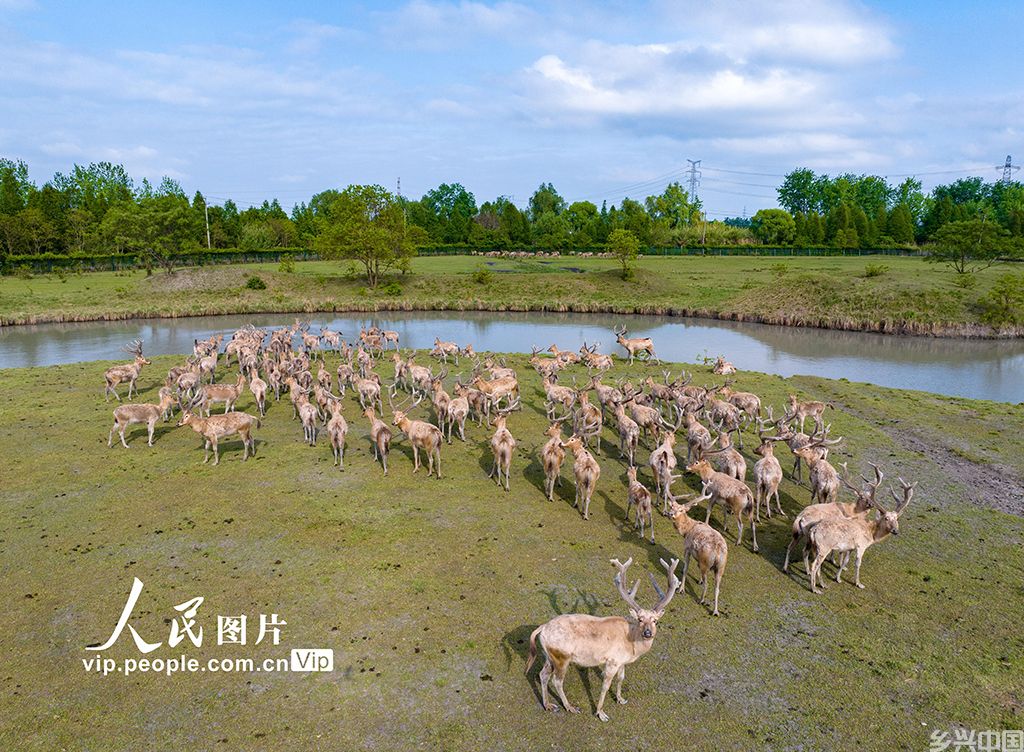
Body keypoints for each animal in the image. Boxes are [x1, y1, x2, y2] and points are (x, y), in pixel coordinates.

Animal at [526, 557, 679, 722]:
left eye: (655, 620)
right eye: (640, 619)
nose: (648, 632)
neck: (631, 645)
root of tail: (542, 628)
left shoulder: (621, 661)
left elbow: (621, 678)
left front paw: (620, 699)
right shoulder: (612, 661)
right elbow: (605, 685)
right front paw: (601, 713)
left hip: (549, 656)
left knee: (543, 674)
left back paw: (548, 705)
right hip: (561, 656)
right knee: (557, 681)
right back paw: (570, 707)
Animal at [666, 482, 727, 616]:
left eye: (681, 510)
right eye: (672, 506)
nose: (670, 514)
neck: (686, 531)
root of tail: (718, 552)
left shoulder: (687, 548)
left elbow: (685, 569)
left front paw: (681, 589)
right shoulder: (699, 559)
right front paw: (698, 580)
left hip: (706, 561)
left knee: (707, 584)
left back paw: (701, 600)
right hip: (721, 566)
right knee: (717, 588)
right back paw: (715, 611)